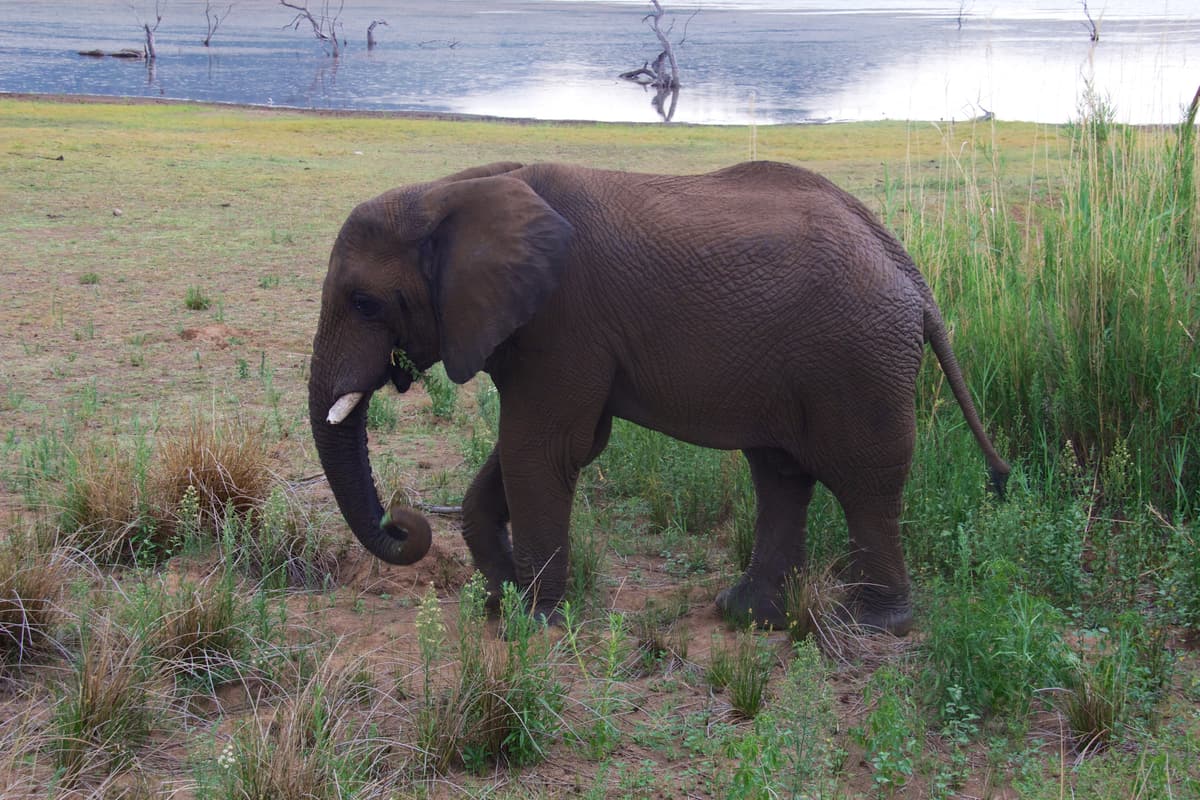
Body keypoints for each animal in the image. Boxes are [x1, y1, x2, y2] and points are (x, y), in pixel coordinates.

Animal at [308, 160, 1009, 636]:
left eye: (365, 303)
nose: (402, 523)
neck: (451, 190)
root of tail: (912, 274)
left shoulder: (563, 319)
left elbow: (543, 448)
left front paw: (530, 623)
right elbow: (544, 450)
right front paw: (500, 599)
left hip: (859, 360)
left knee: (863, 485)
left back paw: (869, 626)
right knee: (780, 475)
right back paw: (746, 616)